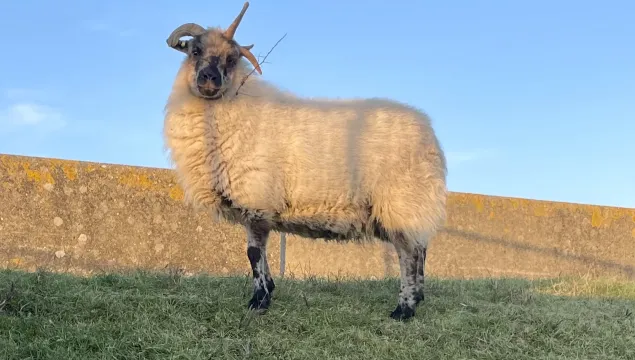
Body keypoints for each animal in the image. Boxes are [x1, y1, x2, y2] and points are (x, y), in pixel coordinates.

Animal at [164, 0, 452, 320]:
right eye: (195, 51)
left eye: (231, 58)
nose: (209, 79)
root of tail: (428, 131)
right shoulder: (257, 205)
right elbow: (259, 253)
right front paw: (269, 289)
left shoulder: (257, 197)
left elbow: (253, 253)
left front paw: (259, 301)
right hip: (408, 206)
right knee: (420, 248)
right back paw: (419, 297)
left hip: (402, 200)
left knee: (409, 254)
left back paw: (404, 308)